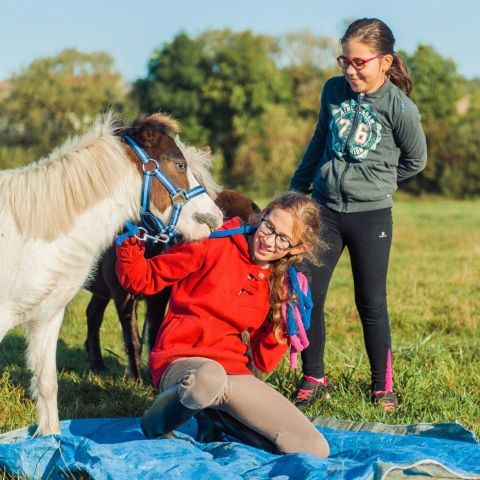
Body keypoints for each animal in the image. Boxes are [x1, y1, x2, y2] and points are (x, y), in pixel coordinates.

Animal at [0, 111, 223, 436]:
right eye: (180, 165)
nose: (214, 219)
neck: (30, 234)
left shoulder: (47, 317)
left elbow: (47, 384)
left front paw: (50, 442)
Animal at [85, 188, 258, 378]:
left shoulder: (158, 298)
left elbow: (154, 334)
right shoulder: (123, 296)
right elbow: (133, 339)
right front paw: (135, 378)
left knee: (93, 315)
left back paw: (97, 365)